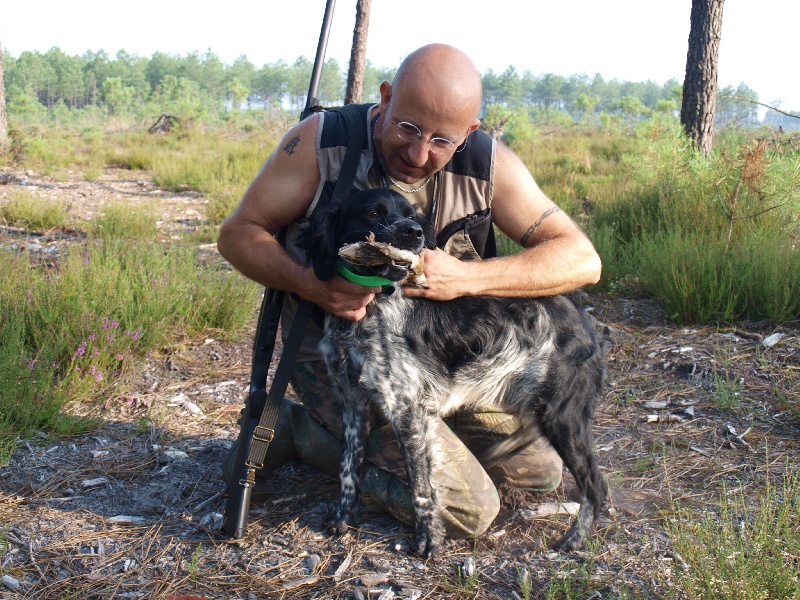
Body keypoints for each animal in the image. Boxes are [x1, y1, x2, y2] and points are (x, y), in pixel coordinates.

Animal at [300, 188, 608, 556]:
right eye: (373, 213)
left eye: (412, 216)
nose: (415, 233)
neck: (371, 307)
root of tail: (583, 317)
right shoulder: (352, 403)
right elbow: (348, 468)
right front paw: (342, 519)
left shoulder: (407, 410)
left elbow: (421, 486)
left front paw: (427, 540)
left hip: (560, 415)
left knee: (595, 485)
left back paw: (575, 540)